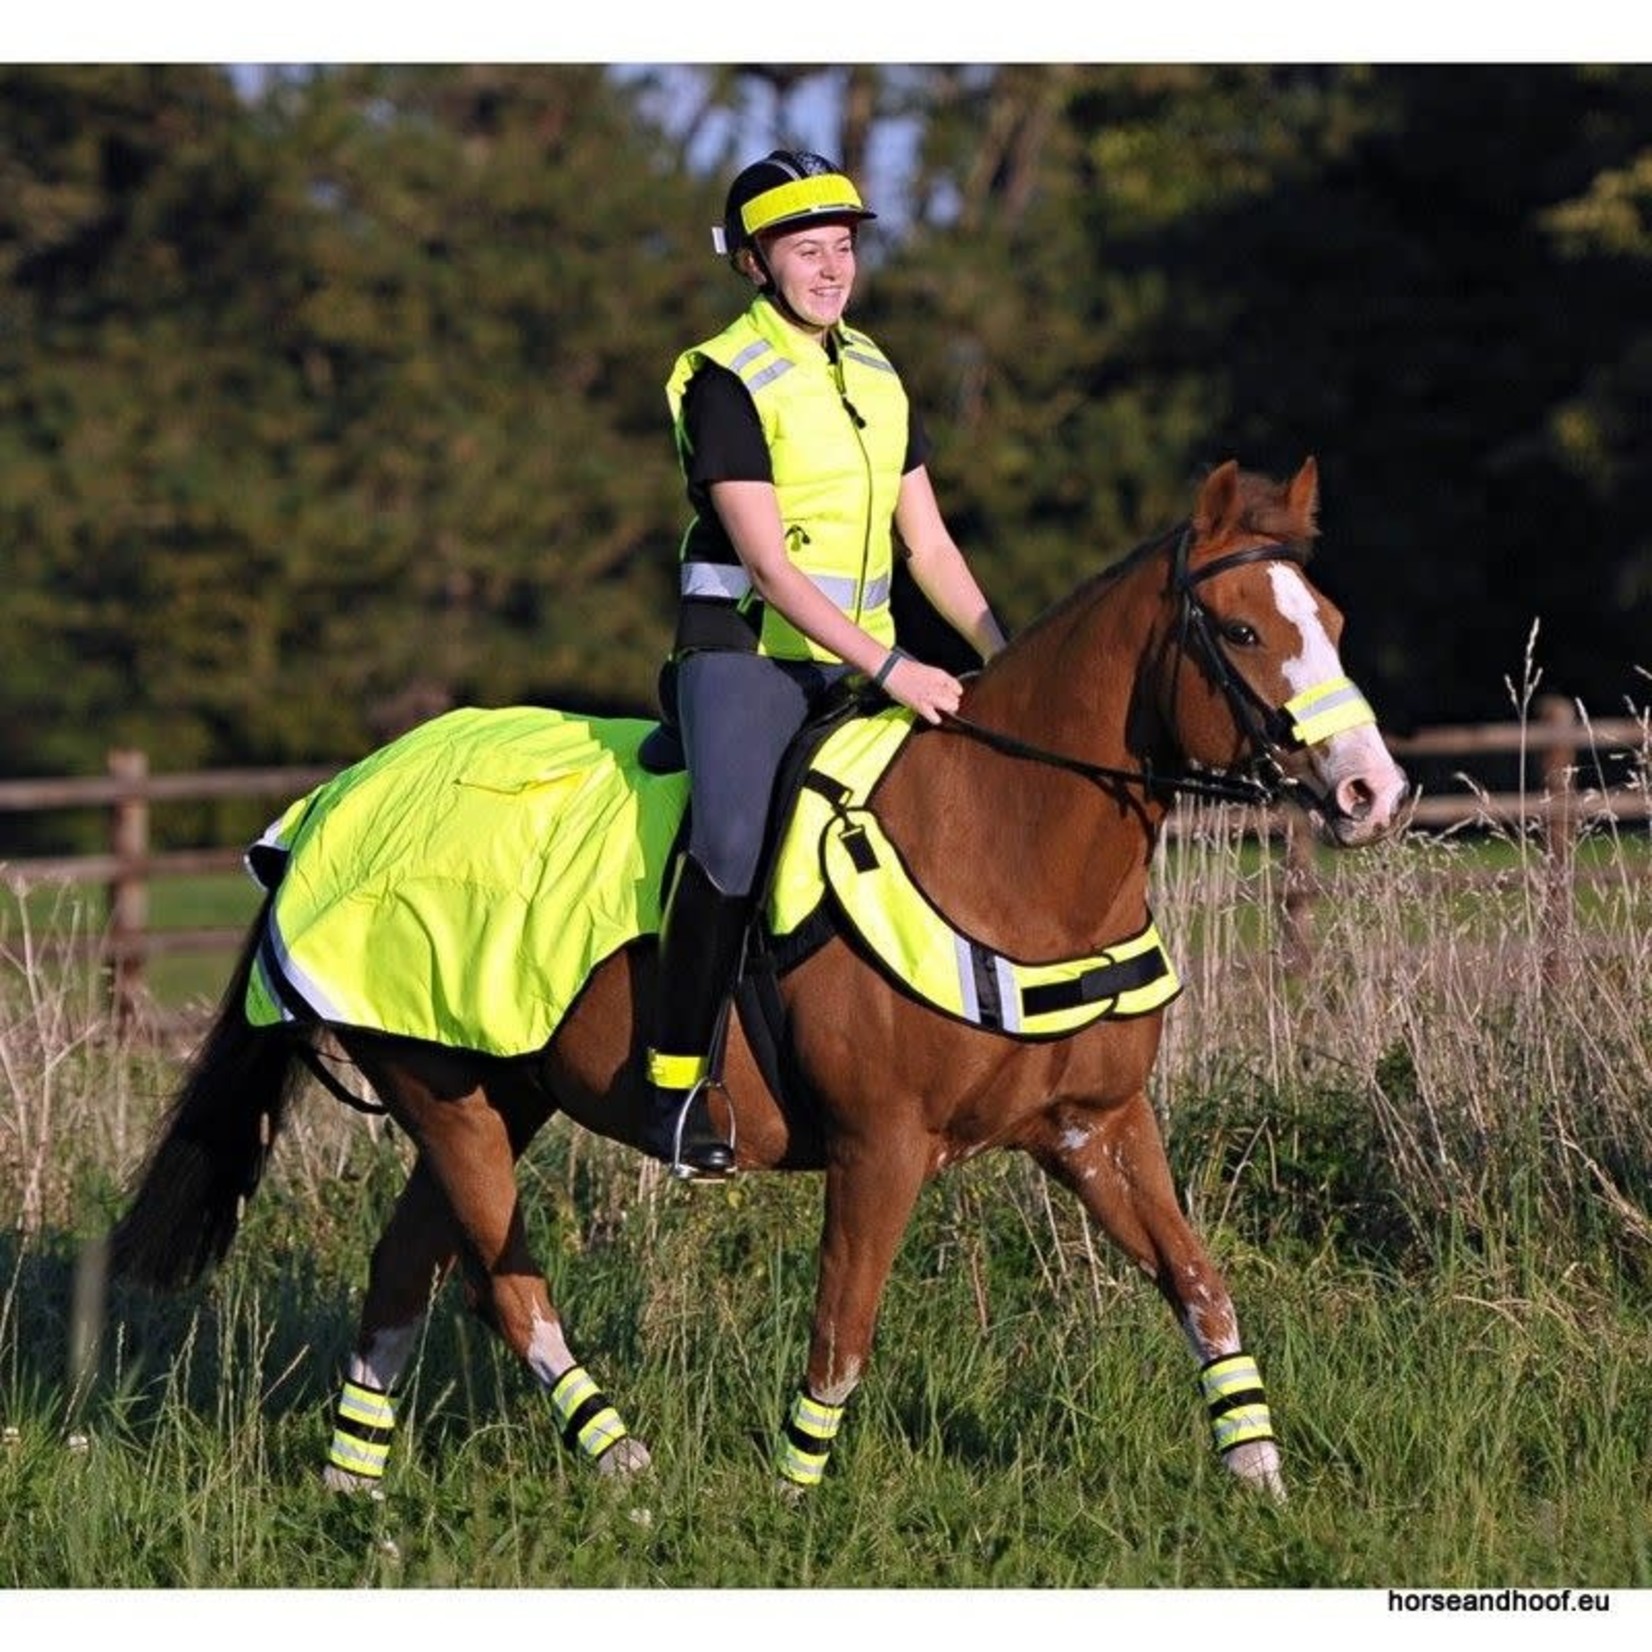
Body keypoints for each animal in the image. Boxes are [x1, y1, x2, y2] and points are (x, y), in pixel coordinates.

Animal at [109, 459, 1407, 1506]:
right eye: (1239, 631)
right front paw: (793, 1500)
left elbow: (1198, 1283)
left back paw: (354, 1486)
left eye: (1335, 617)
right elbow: (843, 1326)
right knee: (502, 1285)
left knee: (406, 1269)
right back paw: (623, 1463)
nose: (1370, 791)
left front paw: (1257, 1472)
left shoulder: (1095, 1126)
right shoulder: (880, 1147)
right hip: (444, 1099)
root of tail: (330, 801)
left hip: (495, 1094)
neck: (1001, 848)